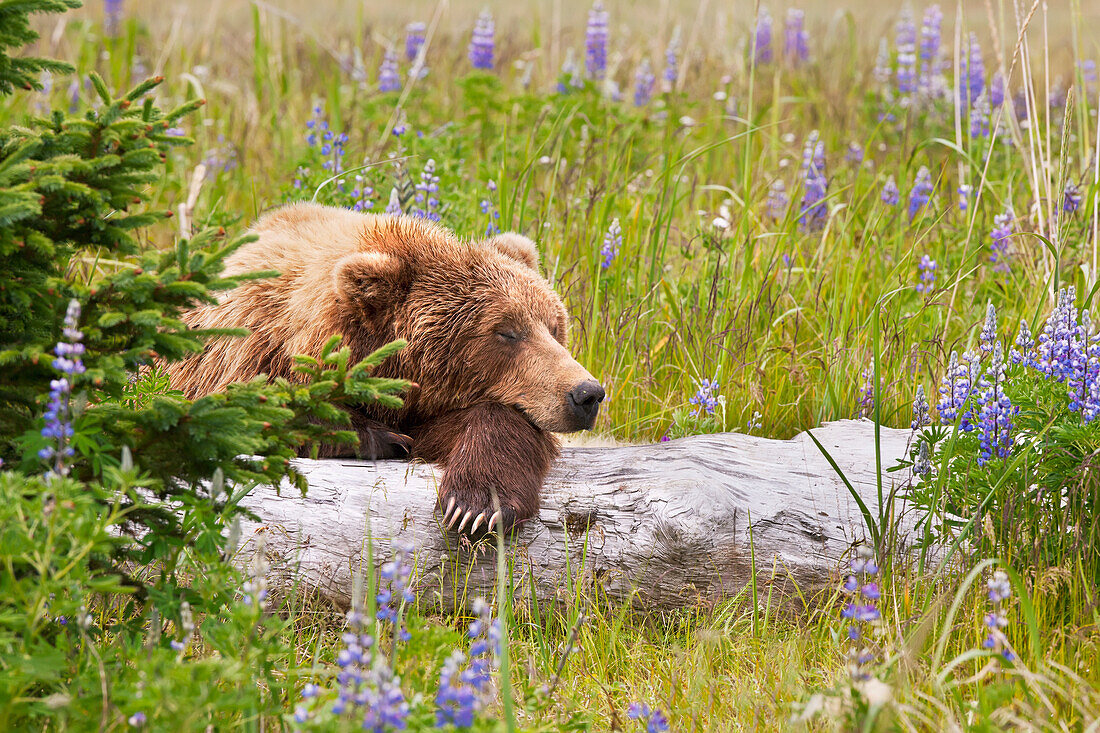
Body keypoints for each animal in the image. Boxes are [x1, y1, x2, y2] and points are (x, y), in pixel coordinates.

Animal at [167, 202, 607, 534]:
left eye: (554, 326)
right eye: (506, 331)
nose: (586, 393)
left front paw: (477, 504)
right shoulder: (236, 357)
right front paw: (382, 437)